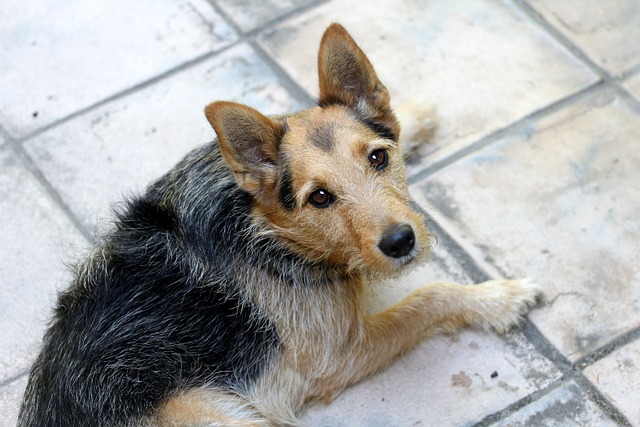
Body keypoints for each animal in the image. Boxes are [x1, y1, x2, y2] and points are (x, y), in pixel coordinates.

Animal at [18, 24, 540, 427]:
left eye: (378, 158)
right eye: (319, 197)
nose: (401, 242)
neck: (259, 225)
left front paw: (417, 117)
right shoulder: (340, 355)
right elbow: (430, 297)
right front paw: (497, 298)